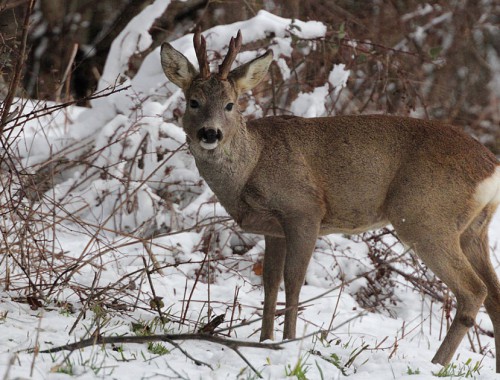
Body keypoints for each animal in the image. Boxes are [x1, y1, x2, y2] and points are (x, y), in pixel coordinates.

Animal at [161, 30, 500, 372]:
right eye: (193, 101)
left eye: (230, 104)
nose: (210, 133)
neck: (252, 166)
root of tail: (491, 167)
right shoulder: (273, 229)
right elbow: (270, 282)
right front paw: (264, 341)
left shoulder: (304, 210)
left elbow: (293, 280)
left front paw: (287, 342)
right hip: (473, 230)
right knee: (494, 295)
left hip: (425, 217)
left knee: (474, 291)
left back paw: (436, 364)